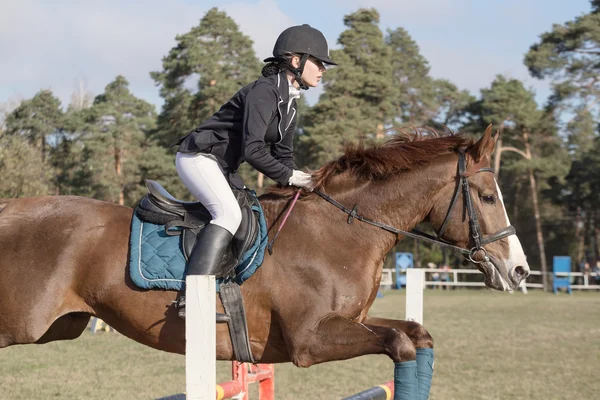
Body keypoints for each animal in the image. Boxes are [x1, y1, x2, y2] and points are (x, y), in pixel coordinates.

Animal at [0, 130, 528, 370]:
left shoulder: (348, 322)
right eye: (487, 197)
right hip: (19, 325)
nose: (520, 270)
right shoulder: (310, 341)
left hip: (59, 326)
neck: (340, 232)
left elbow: (413, 332)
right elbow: (399, 342)